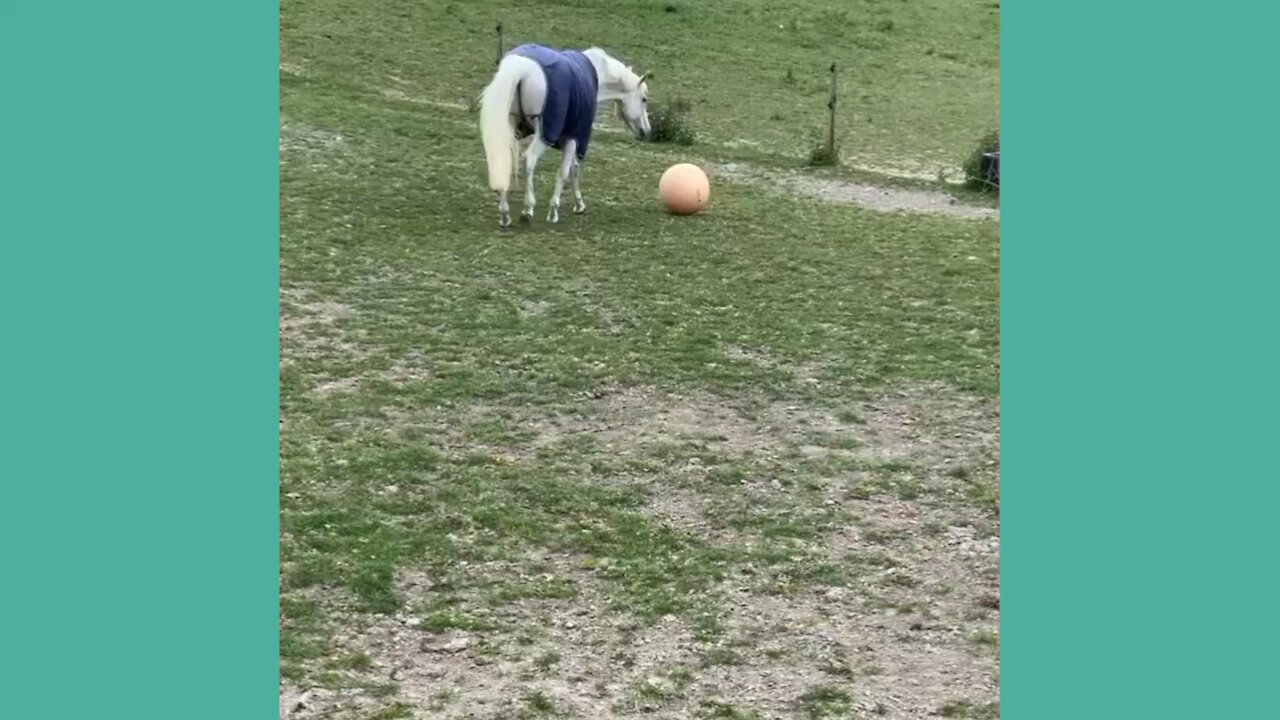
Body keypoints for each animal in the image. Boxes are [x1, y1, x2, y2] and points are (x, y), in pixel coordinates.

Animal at [478, 46, 650, 225]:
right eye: (644, 99)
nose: (646, 131)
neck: (596, 71)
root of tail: (521, 68)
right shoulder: (573, 138)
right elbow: (565, 171)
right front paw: (554, 210)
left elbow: (572, 168)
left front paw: (579, 204)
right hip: (543, 136)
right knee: (529, 159)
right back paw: (528, 209)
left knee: (504, 160)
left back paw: (505, 213)